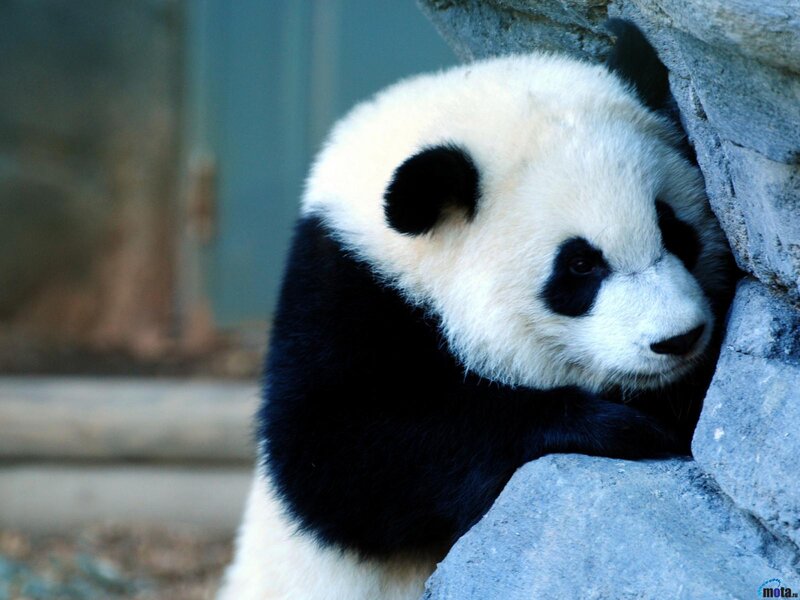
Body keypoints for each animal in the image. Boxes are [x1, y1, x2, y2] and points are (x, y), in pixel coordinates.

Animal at [218, 20, 734, 600]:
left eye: (673, 229)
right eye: (580, 266)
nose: (678, 338)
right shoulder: (343, 292)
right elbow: (336, 458)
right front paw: (619, 426)